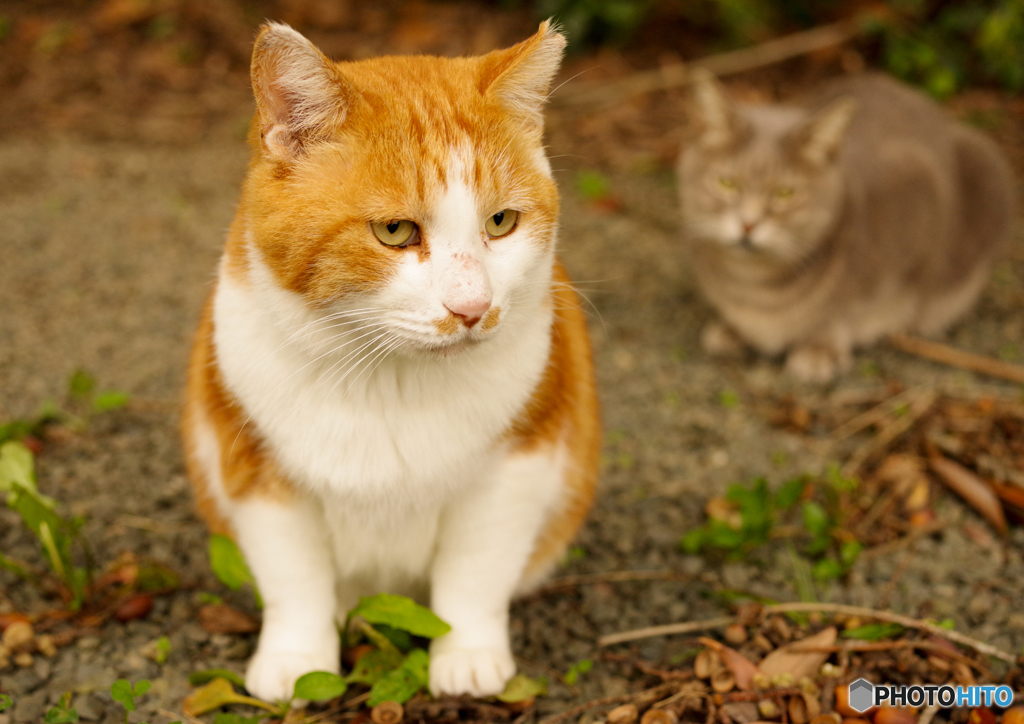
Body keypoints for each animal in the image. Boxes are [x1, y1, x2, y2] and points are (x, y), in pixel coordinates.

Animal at [182, 21, 598, 700]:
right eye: (396, 232)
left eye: (501, 222)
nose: (472, 307)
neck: (387, 379)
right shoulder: (256, 471)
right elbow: (294, 582)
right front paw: (298, 662)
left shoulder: (518, 465)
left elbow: (474, 574)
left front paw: (466, 655)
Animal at [675, 70, 1011, 382]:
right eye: (726, 183)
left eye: (785, 193)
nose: (747, 224)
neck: (755, 286)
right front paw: (734, 329)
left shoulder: (920, 190)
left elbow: (847, 308)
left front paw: (820, 346)